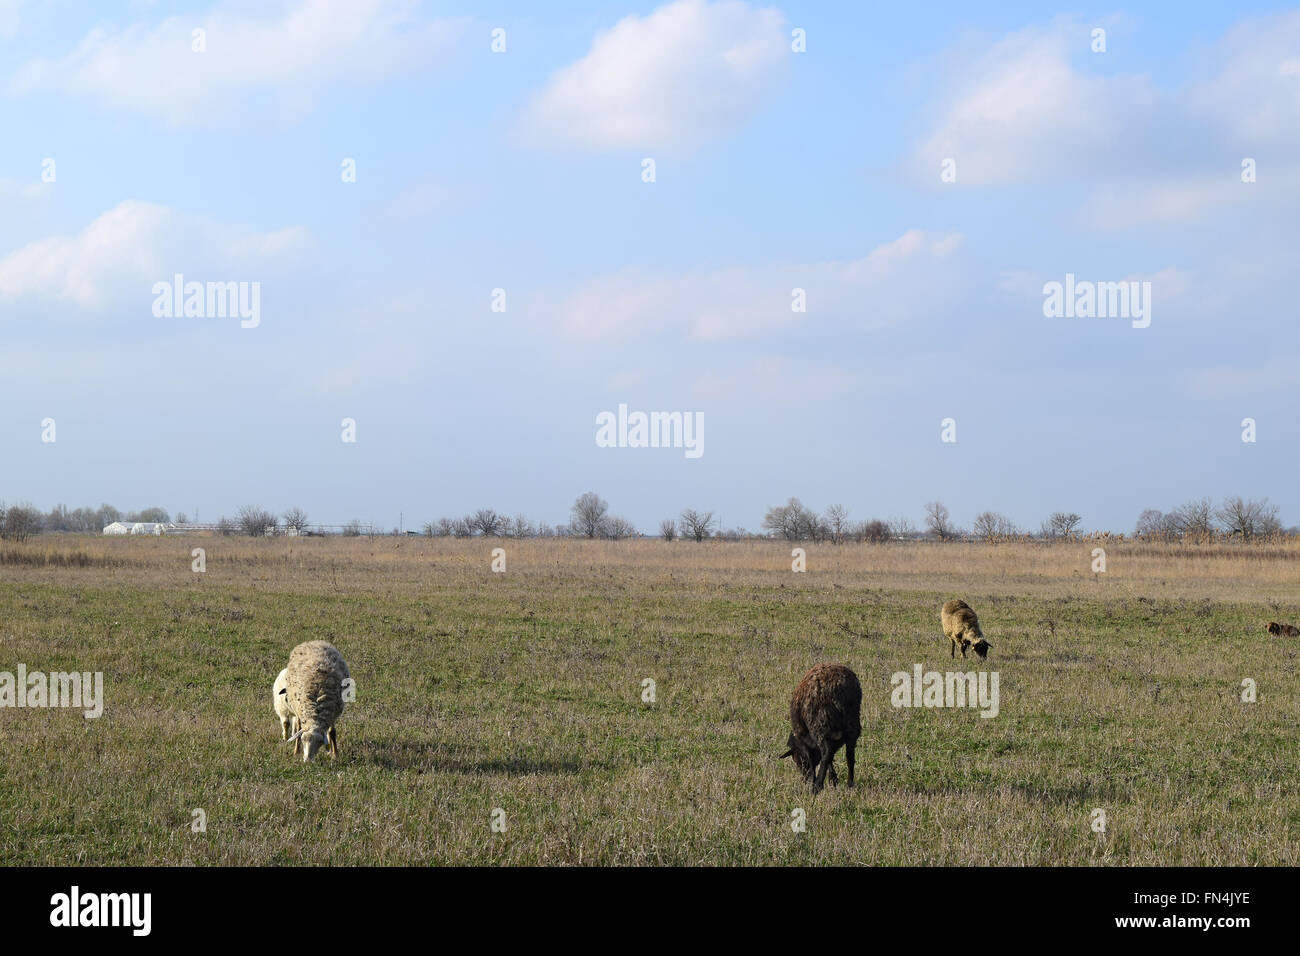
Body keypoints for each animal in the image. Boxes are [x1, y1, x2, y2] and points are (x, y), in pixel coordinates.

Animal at [779, 662, 861, 795]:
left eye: (798, 760)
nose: (805, 780)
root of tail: (840, 687)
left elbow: (822, 757)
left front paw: (823, 780)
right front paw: (833, 780)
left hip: (820, 724)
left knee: (827, 752)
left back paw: (817, 786)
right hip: (852, 724)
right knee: (849, 756)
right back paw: (850, 784)